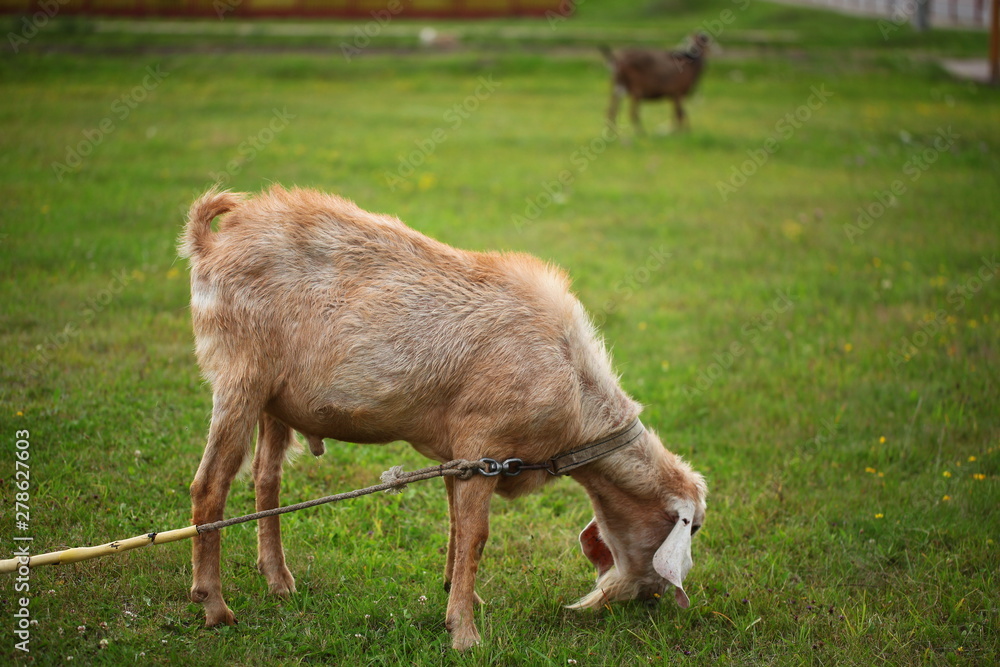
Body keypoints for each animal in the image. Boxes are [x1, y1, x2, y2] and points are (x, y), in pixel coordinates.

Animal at [178, 185, 708, 651]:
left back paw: (279, 581)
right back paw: (215, 607)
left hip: (275, 399)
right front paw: (466, 635)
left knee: (266, 479)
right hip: (240, 377)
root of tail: (212, 243)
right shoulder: (484, 442)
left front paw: (460, 594)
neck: (574, 381)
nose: (655, 602)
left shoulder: (460, 453)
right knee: (209, 486)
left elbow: (456, 524)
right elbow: (476, 536)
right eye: (695, 527)